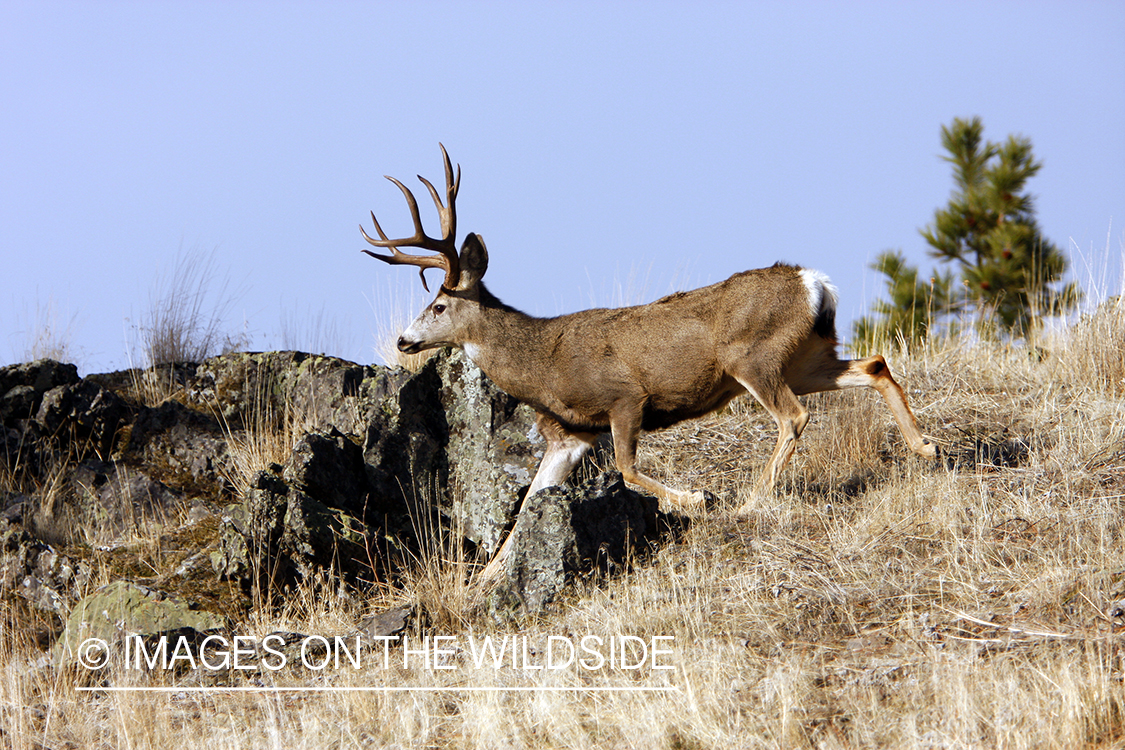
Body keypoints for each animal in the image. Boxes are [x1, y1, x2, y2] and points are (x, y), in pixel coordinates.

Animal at [361, 145, 937, 581]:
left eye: (438, 305)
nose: (404, 341)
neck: (543, 362)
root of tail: (814, 282)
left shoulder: (624, 398)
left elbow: (627, 469)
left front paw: (698, 498)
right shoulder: (570, 433)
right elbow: (529, 503)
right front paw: (484, 578)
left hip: (754, 357)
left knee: (793, 415)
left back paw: (750, 502)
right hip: (806, 356)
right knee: (874, 364)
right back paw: (925, 446)